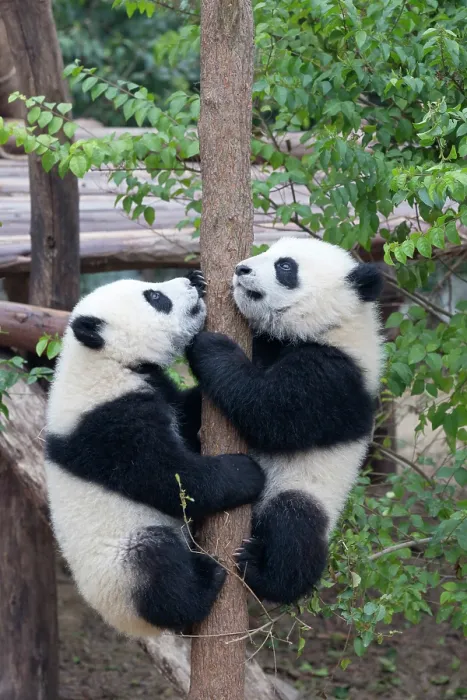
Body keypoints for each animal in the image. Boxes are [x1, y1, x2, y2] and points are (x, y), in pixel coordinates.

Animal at [45, 273, 265, 637]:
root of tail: (131, 624)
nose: (191, 282)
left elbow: (188, 413)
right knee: (158, 566)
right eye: (155, 297)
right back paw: (202, 585)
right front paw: (245, 472)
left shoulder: (155, 389)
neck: (107, 362)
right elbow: (166, 477)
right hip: (121, 567)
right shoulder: (107, 424)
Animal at [186, 237, 384, 604]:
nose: (241, 269)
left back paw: (262, 572)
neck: (334, 325)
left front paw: (211, 346)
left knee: (294, 527)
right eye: (268, 250)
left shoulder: (335, 376)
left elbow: (267, 409)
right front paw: (195, 285)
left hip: (306, 488)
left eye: (285, 267)